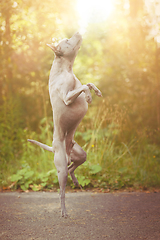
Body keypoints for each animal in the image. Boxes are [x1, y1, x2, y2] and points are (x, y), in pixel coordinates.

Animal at [27, 31, 102, 217]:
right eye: (68, 40)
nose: (78, 32)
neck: (65, 69)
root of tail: (54, 147)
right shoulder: (67, 97)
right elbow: (83, 87)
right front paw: (88, 96)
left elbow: (87, 83)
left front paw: (96, 91)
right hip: (61, 167)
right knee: (61, 190)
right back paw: (64, 211)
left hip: (80, 154)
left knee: (72, 167)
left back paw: (75, 181)